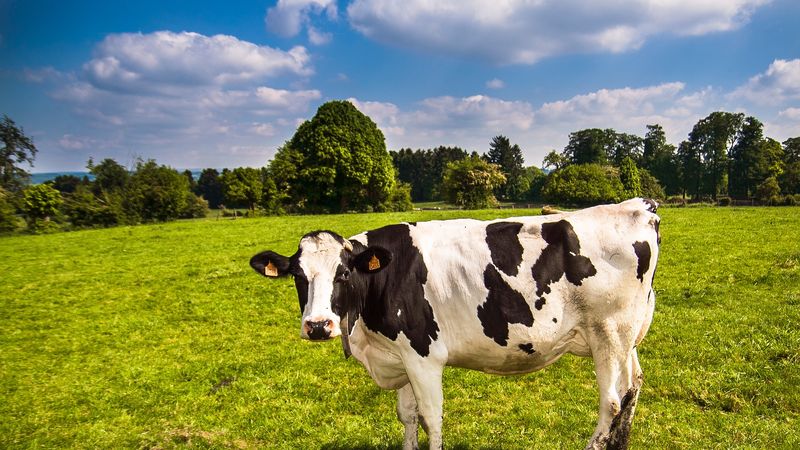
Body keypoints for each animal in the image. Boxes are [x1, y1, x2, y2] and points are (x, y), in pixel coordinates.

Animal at [249, 198, 660, 450]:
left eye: (344, 273)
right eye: (298, 276)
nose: (318, 325)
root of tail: (638, 206)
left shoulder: (423, 355)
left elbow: (431, 417)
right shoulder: (399, 356)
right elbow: (407, 415)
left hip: (608, 333)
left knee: (611, 402)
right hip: (626, 337)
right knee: (633, 387)